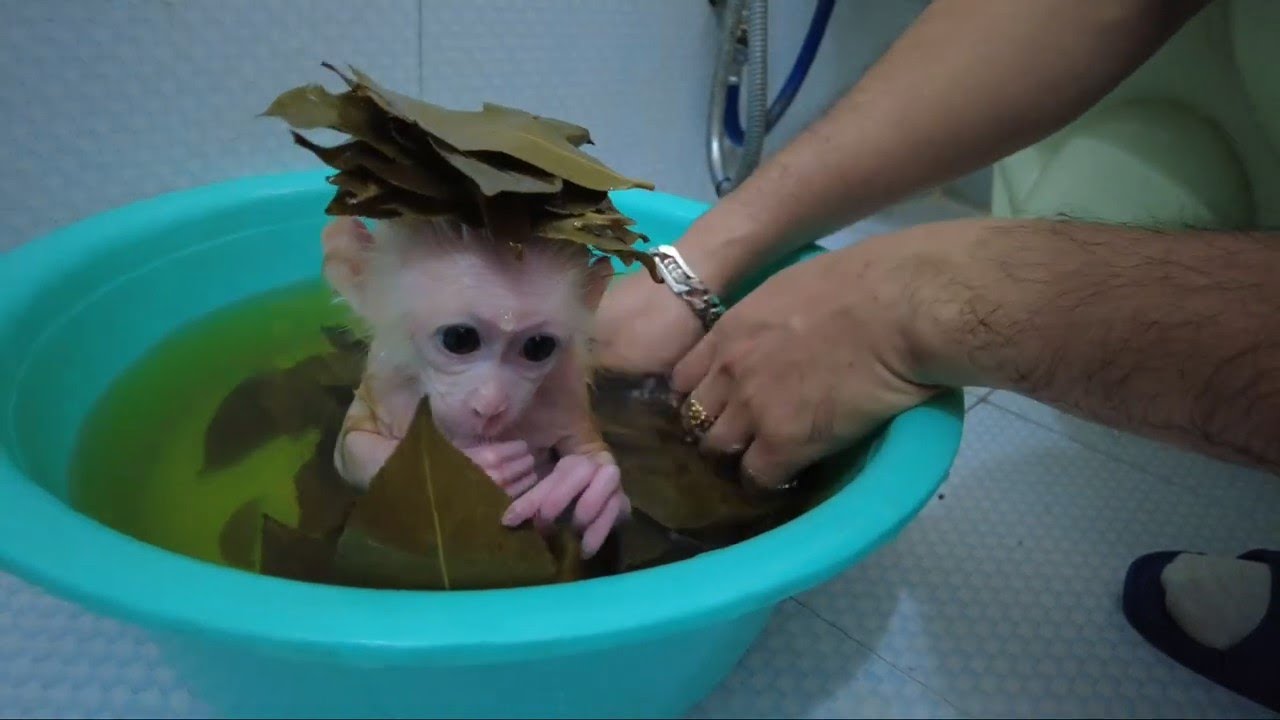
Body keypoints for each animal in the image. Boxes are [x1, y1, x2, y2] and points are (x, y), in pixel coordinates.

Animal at [319, 214, 631, 559]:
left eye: (538, 347)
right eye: (459, 339)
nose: (491, 406)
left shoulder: (567, 396)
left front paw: (587, 484)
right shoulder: (385, 386)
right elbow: (350, 447)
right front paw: (487, 465)